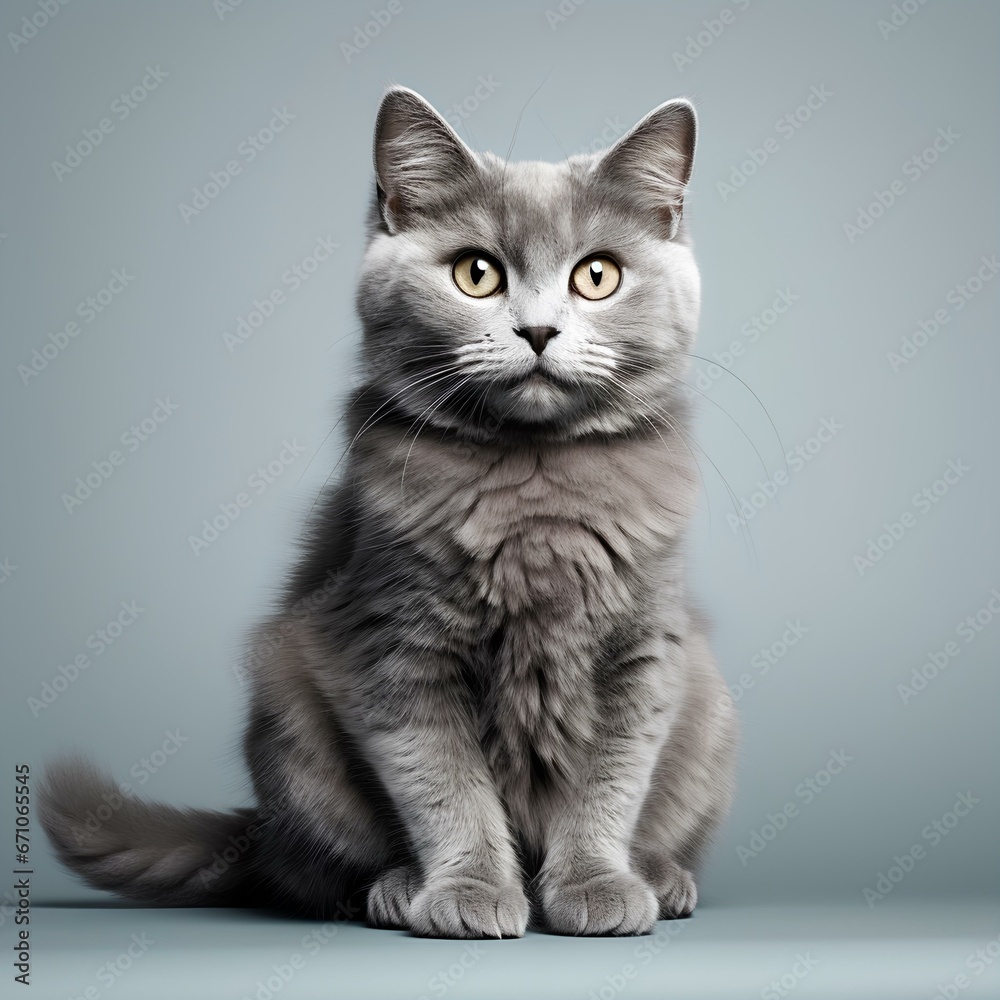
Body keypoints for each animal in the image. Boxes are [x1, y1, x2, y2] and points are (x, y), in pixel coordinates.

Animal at [41, 86, 736, 936]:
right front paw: (470, 892)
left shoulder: (643, 652)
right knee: (319, 869)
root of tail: (258, 835)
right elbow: (444, 786)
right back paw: (394, 888)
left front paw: (598, 886)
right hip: (289, 714)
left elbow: (610, 782)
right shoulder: (392, 643)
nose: (538, 330)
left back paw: (662, 878)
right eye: (477, 273)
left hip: (710, 707)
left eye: (597, 276)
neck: (532, 486)